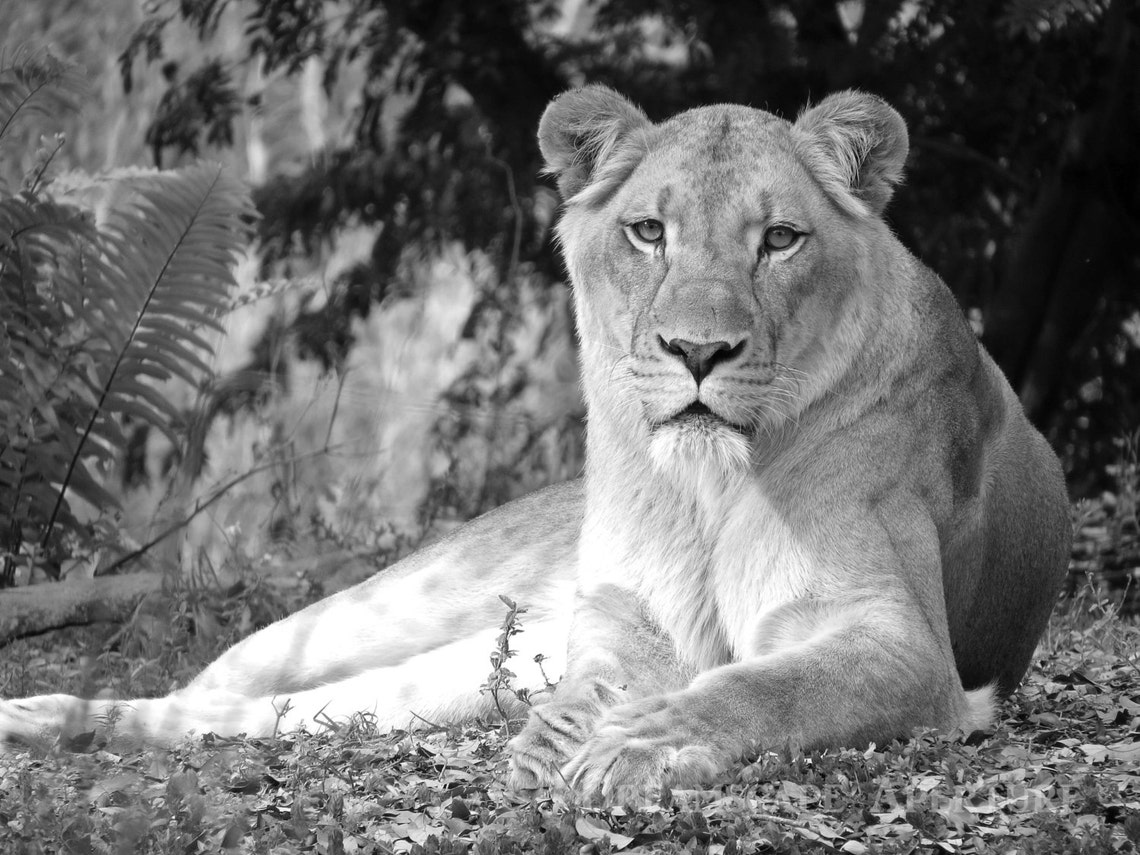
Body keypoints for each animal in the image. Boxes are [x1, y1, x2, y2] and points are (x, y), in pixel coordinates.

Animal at [0, 86, 1070, 805]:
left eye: (780, 240)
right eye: (648, 231)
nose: (696, 352)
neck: (710, 483)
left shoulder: (904, 644)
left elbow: (767, 684)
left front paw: (638, 744)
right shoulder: (630, 617)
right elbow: (604, 677)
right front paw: (565, 735)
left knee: (262, 715)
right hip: (387, 607)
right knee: (217, 685)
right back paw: (49, 715)